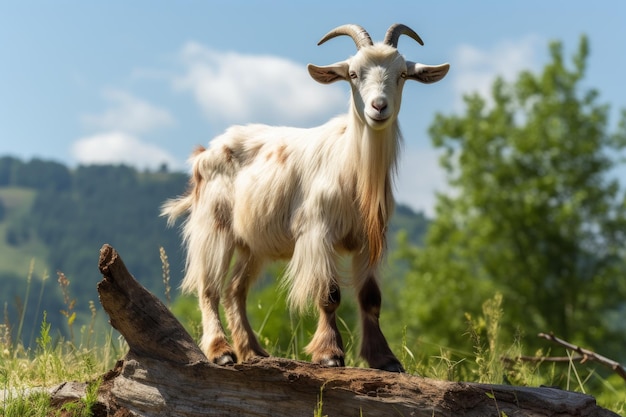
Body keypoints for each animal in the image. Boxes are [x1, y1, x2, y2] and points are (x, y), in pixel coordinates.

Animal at [160, 24, 444, 372]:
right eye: (353, 73)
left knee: (234, 290)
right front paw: (330, 354)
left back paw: (253, 351)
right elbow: (329, 294)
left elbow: (371, 298)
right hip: (214, 226)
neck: (352, 169)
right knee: (209, 288)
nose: (378, 106)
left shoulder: (370, 240)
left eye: (402, 74)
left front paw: (385, 359)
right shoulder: (318, 232)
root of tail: (203, 153)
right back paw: (221, 352)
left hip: (253, 244)